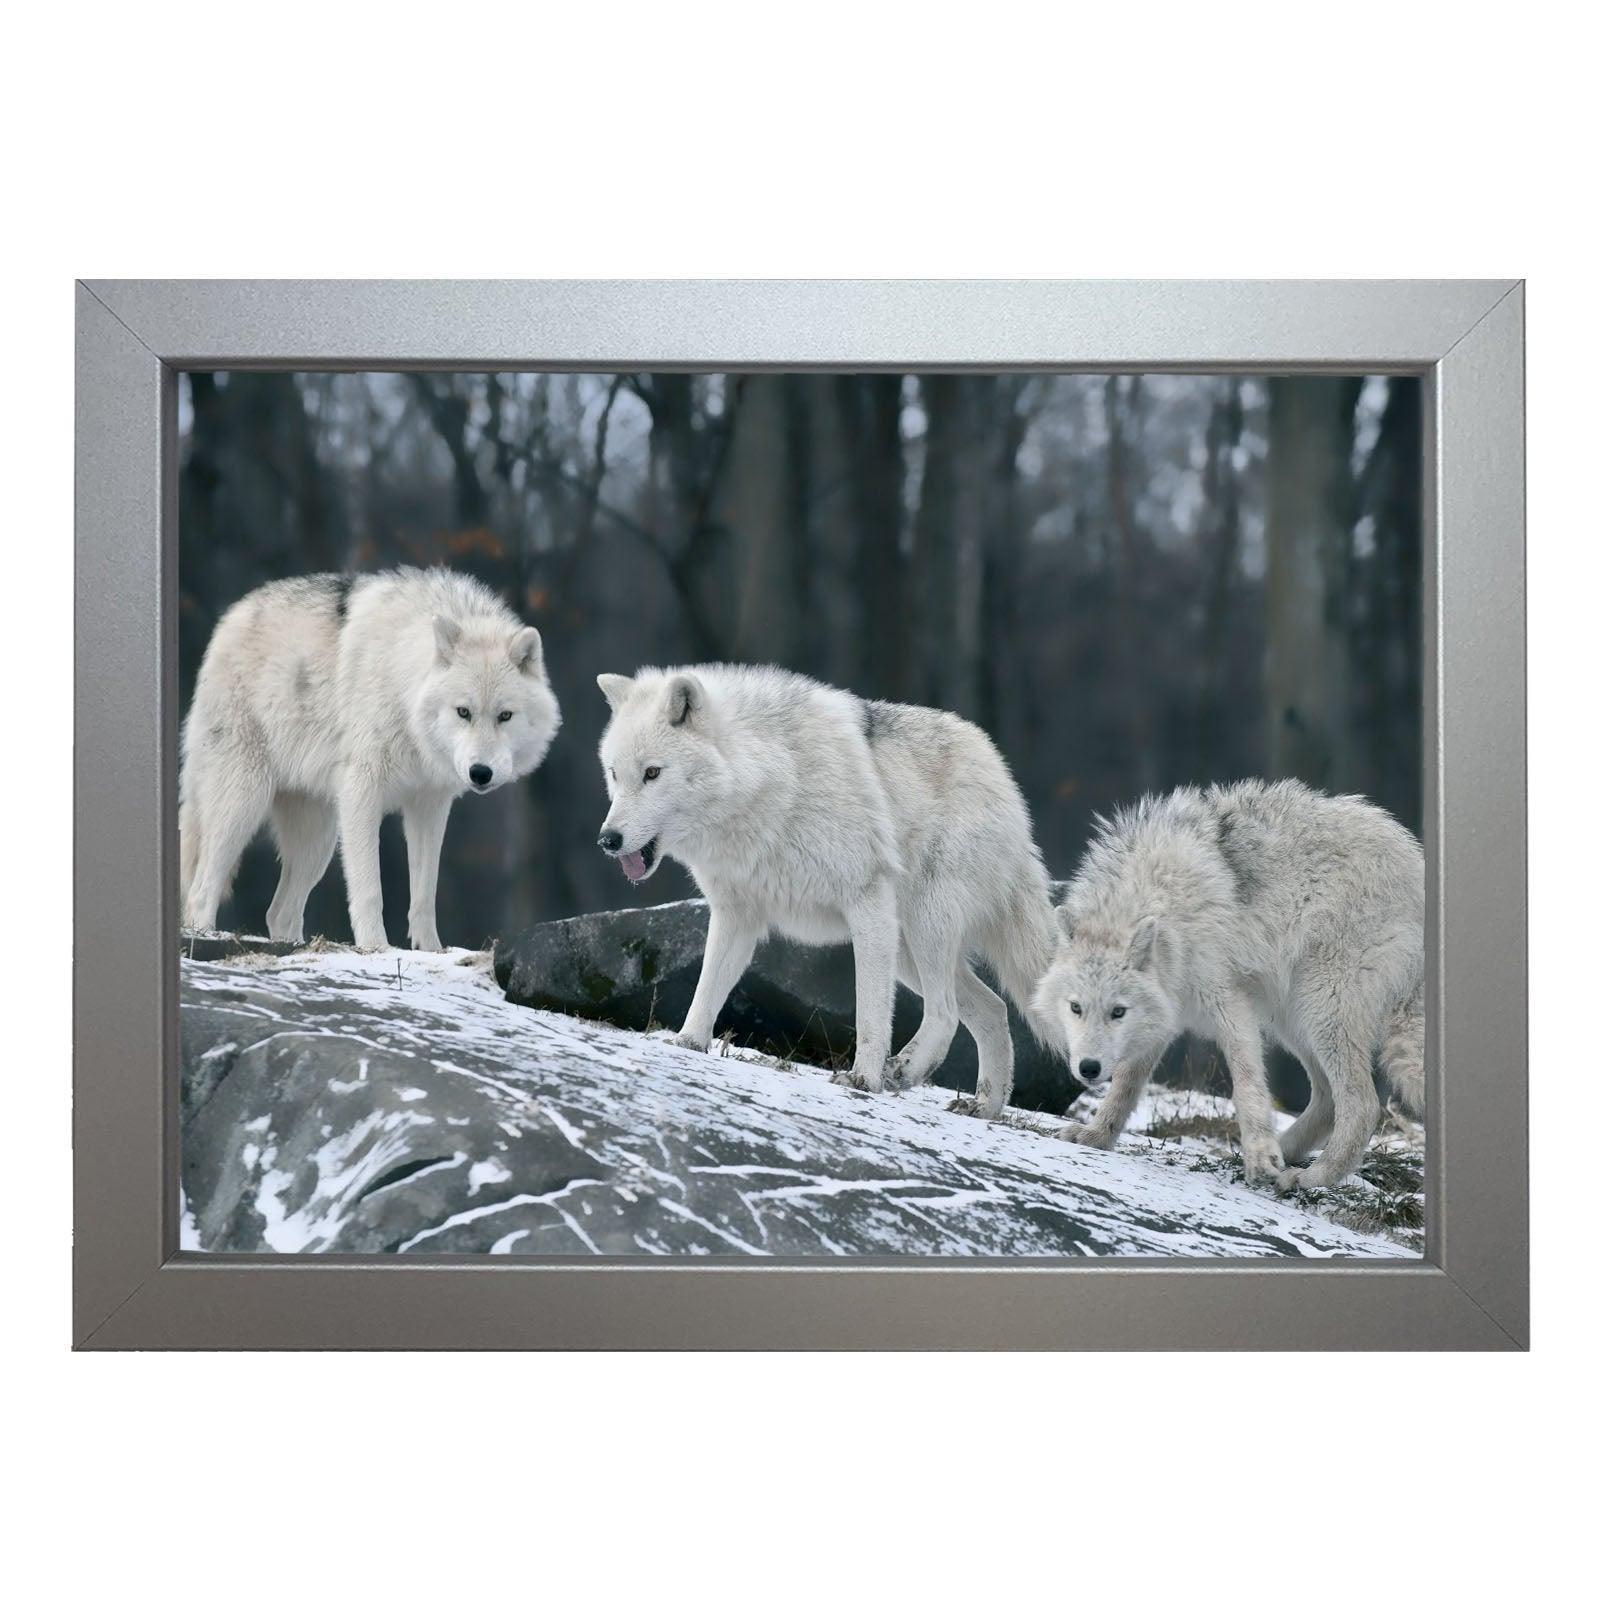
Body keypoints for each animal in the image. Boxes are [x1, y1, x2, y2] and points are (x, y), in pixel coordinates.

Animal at [180, 566, 561, 951]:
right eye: (463, 712)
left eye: (505, 716)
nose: (480, 773)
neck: (402, 685)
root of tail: (230, 617)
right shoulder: (362, 792)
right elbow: (369, 889)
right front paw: (376, 946)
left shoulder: (429, 805)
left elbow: (425, 894)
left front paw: (431, 950)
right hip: (245, 804)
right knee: (200, 891)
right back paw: (205, 935)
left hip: (318, 839)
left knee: (279, 912)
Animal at [593, 664, 1064, 1115]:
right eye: (615, 775)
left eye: (652, 773)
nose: (608, 839)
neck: (769, 784)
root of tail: (1001, 774)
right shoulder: (736, 914)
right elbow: (707, 989)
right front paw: (687, 1044)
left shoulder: (866, 901)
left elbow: (870, 1010)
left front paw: (863, 1079)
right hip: (907, 949)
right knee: (993, 1009)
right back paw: (983, 1106)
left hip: (923, 926)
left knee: (946, 1012)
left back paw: (903, 1072)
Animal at [1033, 779, 1424, 1190]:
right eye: (1076, 1008)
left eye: (1117, 1012)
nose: (1089, 1069)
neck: (1166, 901)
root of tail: (1417, 867)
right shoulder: (1164, 1015)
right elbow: (1125, 1085)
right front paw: (1096, 1136)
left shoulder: (1229, 1002)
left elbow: (1247, 1083)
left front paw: (1261, 1156)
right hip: (1292, 1018)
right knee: (1329, 1102)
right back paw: (1282, 1154)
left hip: (1320, 1010)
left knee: (1362, 1105)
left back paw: (1310, 1177)